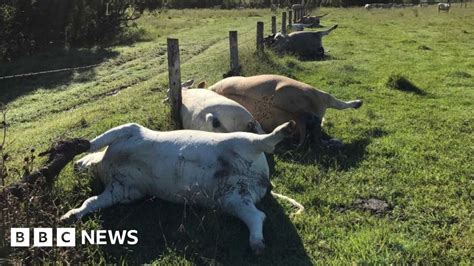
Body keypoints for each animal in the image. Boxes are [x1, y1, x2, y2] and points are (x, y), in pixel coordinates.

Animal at [62, 120, 296, 254]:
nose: (74, 166)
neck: (106, 163)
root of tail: (263, 179)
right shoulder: (124, 190)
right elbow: (91, 201)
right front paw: (70, 216)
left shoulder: (129, 130)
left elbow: (95, 142)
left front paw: (73, 146)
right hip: (234, 198)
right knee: (257, 216)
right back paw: (257, 245)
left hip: (242, 141)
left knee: (265, 142)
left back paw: (286, 129)